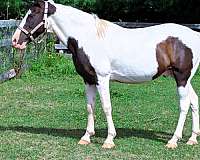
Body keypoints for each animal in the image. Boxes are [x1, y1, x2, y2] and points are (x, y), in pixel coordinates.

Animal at [12, 0, 200, 149]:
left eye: (32, 14)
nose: (15, 40)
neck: (88, 37)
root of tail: (194, 35)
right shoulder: (88, 80)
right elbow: (90, 107)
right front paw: (86, 137)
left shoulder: (102, 79)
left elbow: (106, 107)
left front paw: (109, 140)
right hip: (184, 79)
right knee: (194, 101)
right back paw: (192, 139)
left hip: (182, 78)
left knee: (184, 105)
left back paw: (173, 141)